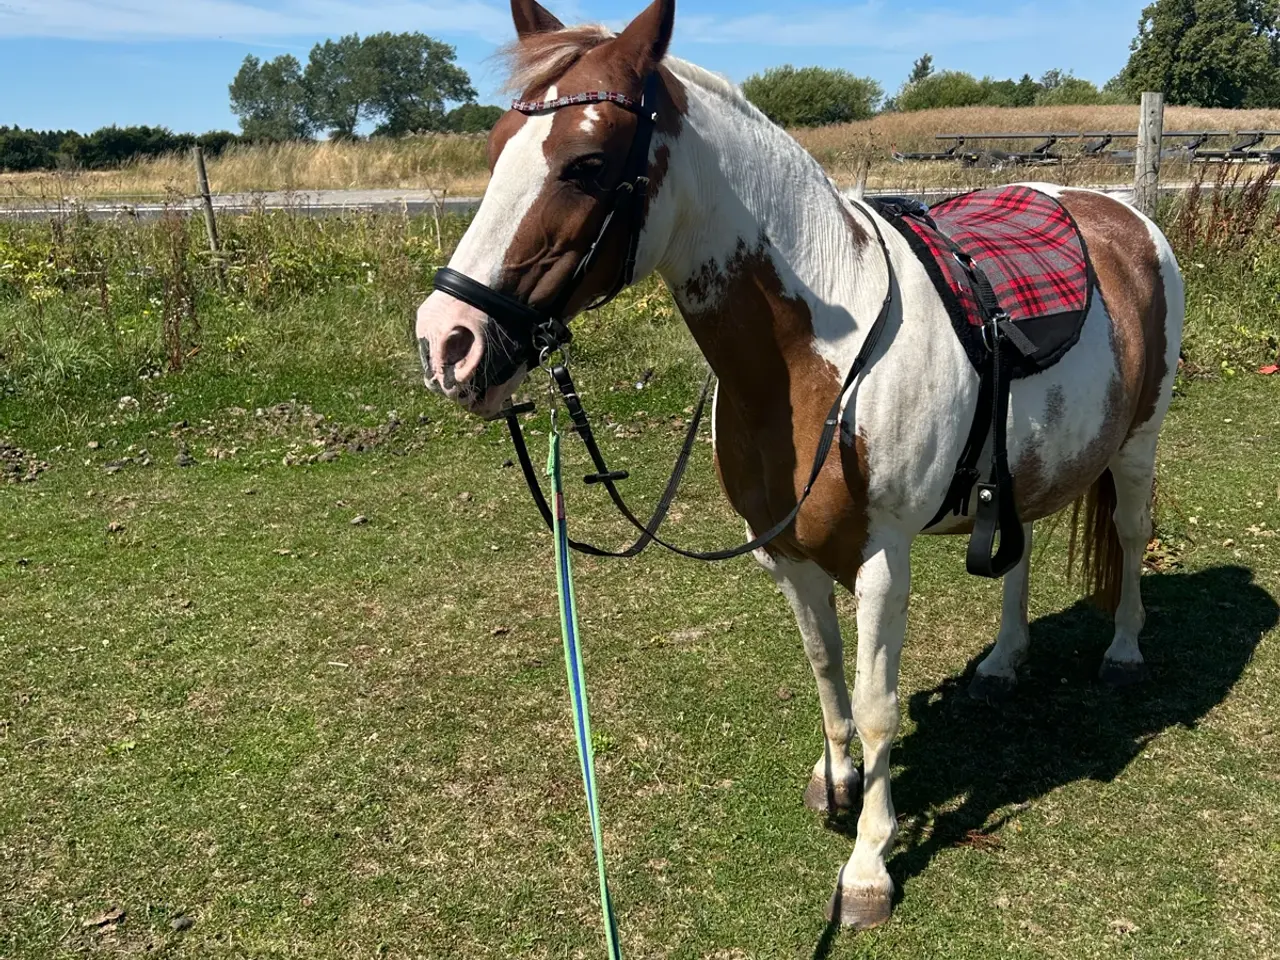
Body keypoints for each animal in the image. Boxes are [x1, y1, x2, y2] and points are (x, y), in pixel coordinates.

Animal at [416, 0, 1184, 929]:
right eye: (496, 147)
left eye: (587, 162)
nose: (448, 341)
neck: (821, 356)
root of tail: (1123, 215)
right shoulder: (784, 553)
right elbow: (826, 673)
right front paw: (838, 782)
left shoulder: (885, 559)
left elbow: (879, 705)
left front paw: (868, 867)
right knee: (1022, 548)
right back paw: (1004, 661)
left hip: (1140, 441)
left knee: (1133, 534)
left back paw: (1124, 652)